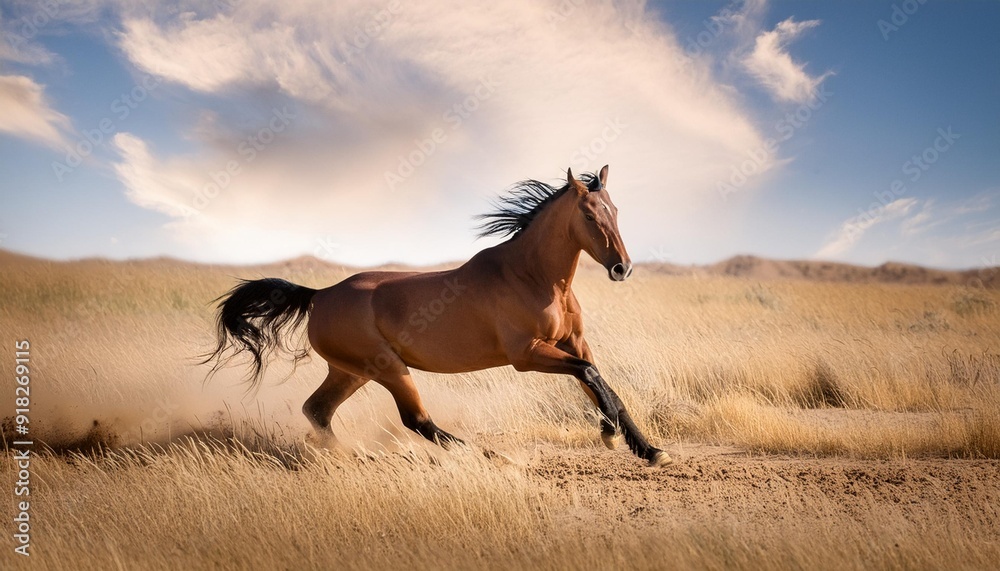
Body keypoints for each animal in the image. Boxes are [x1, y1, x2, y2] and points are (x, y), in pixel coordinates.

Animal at [202, 166, 670, 466]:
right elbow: (591, 376)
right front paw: (620, 439)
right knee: (416, 419)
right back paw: (487, 455)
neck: (532, 276)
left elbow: (602, 384)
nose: (622, 268)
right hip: (388, 369)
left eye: (615, 210)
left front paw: (643, 447)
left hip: (352, 372)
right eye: (589, 214)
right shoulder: (528, 355)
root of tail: (319, 295)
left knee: (317, 411)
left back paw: (351, 455)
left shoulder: (573, 343)